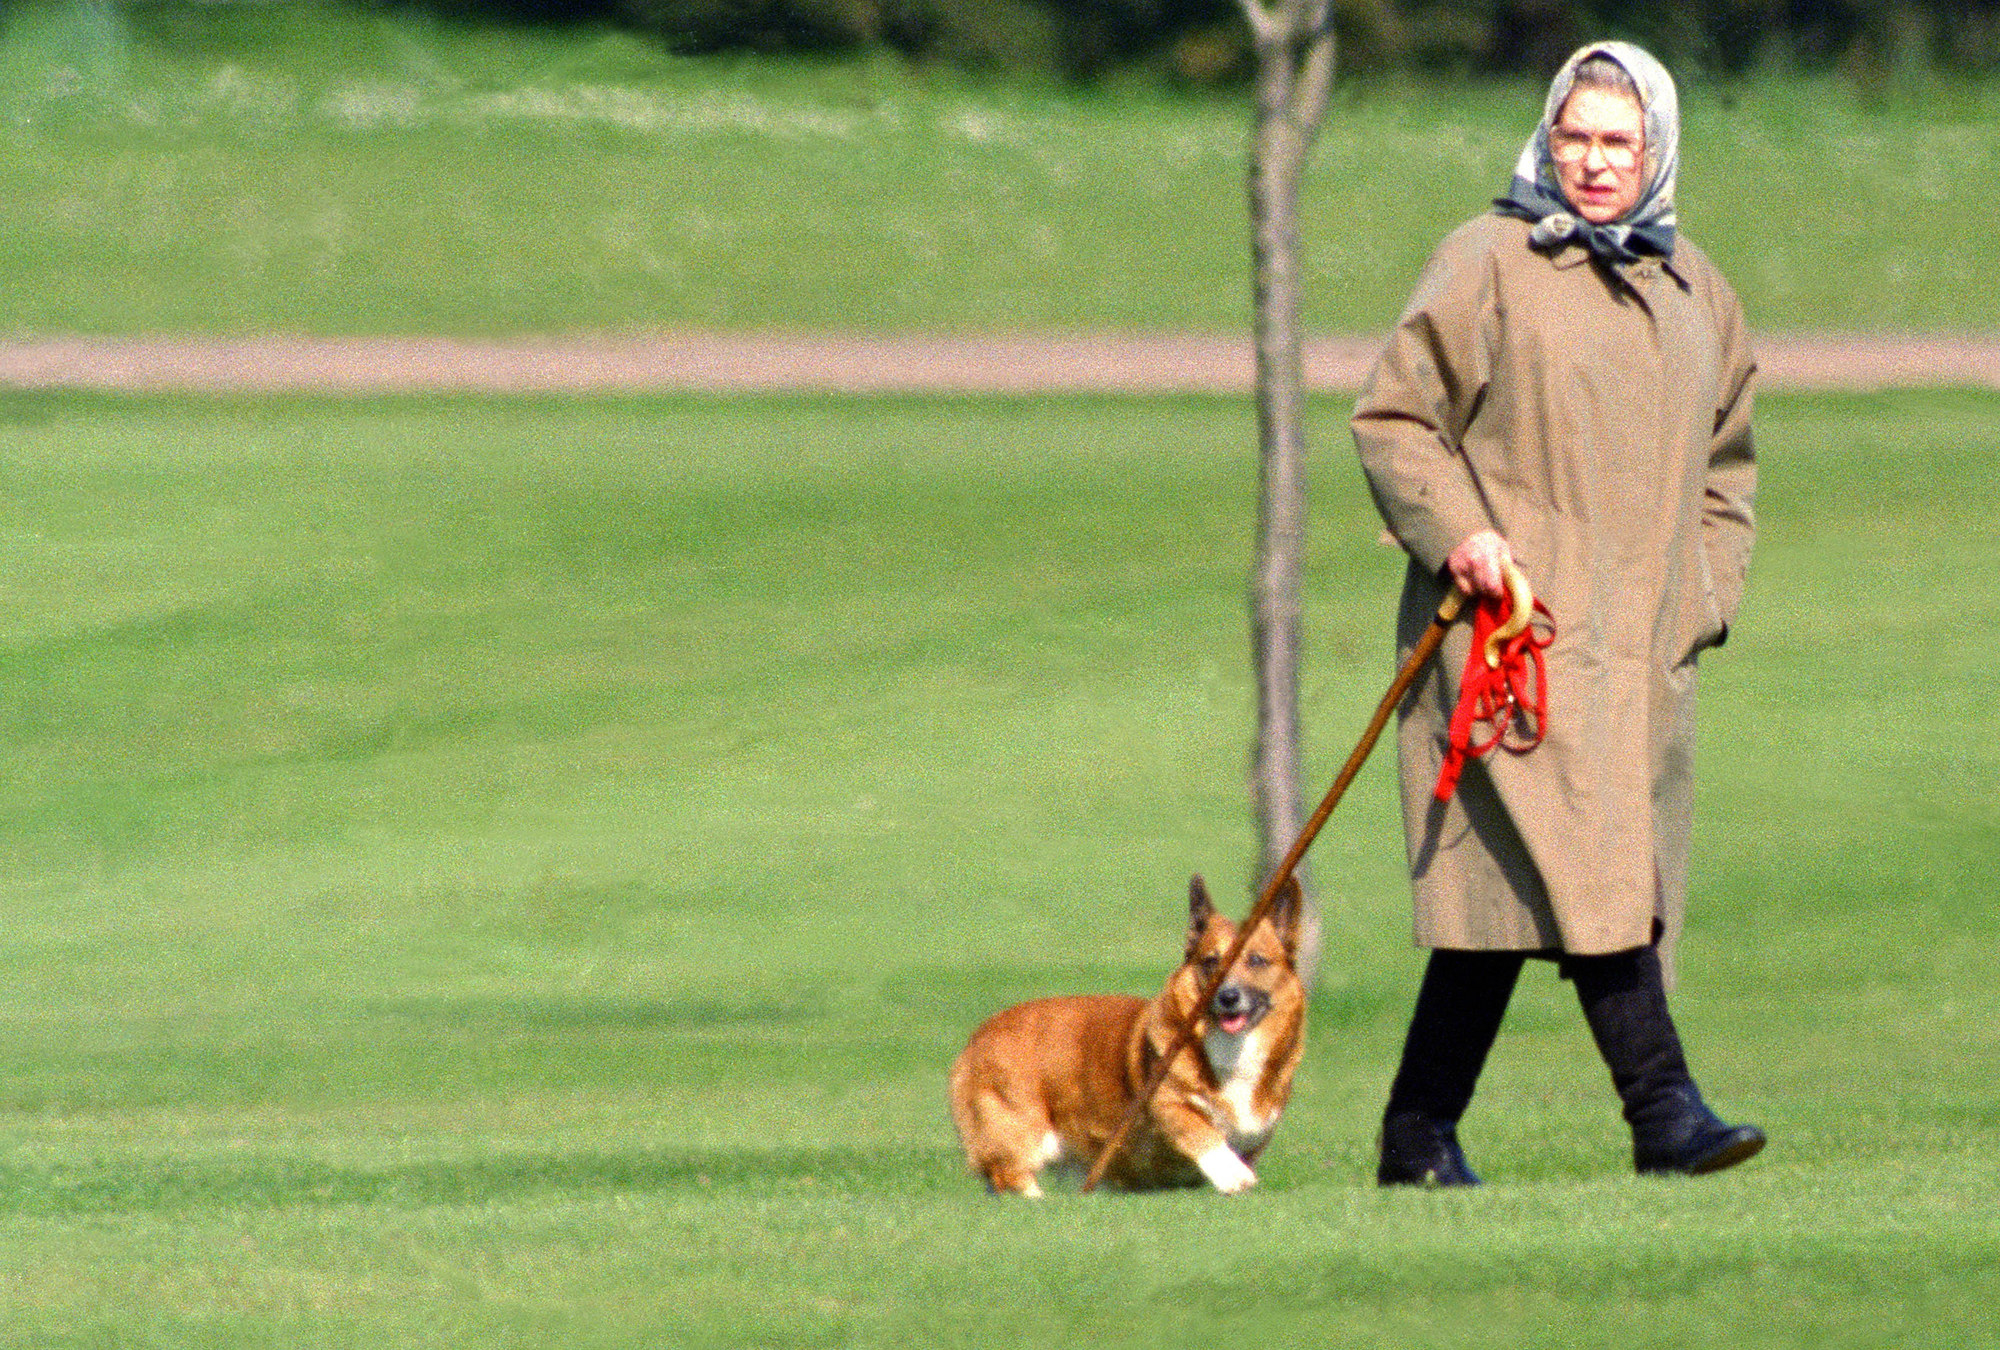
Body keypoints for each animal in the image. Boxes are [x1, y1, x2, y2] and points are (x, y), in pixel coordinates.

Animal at [952, 880, 1312, 1200]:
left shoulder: (1257, 1133)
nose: (1228, 997)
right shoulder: (1166, 1104)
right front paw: (1232, 1175)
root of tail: (976, 1038)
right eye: (1211, 962)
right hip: (1022, 1132)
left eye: (1256, 960)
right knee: (1010, 1175)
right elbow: (1201, 1131)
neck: (1233, 1051)